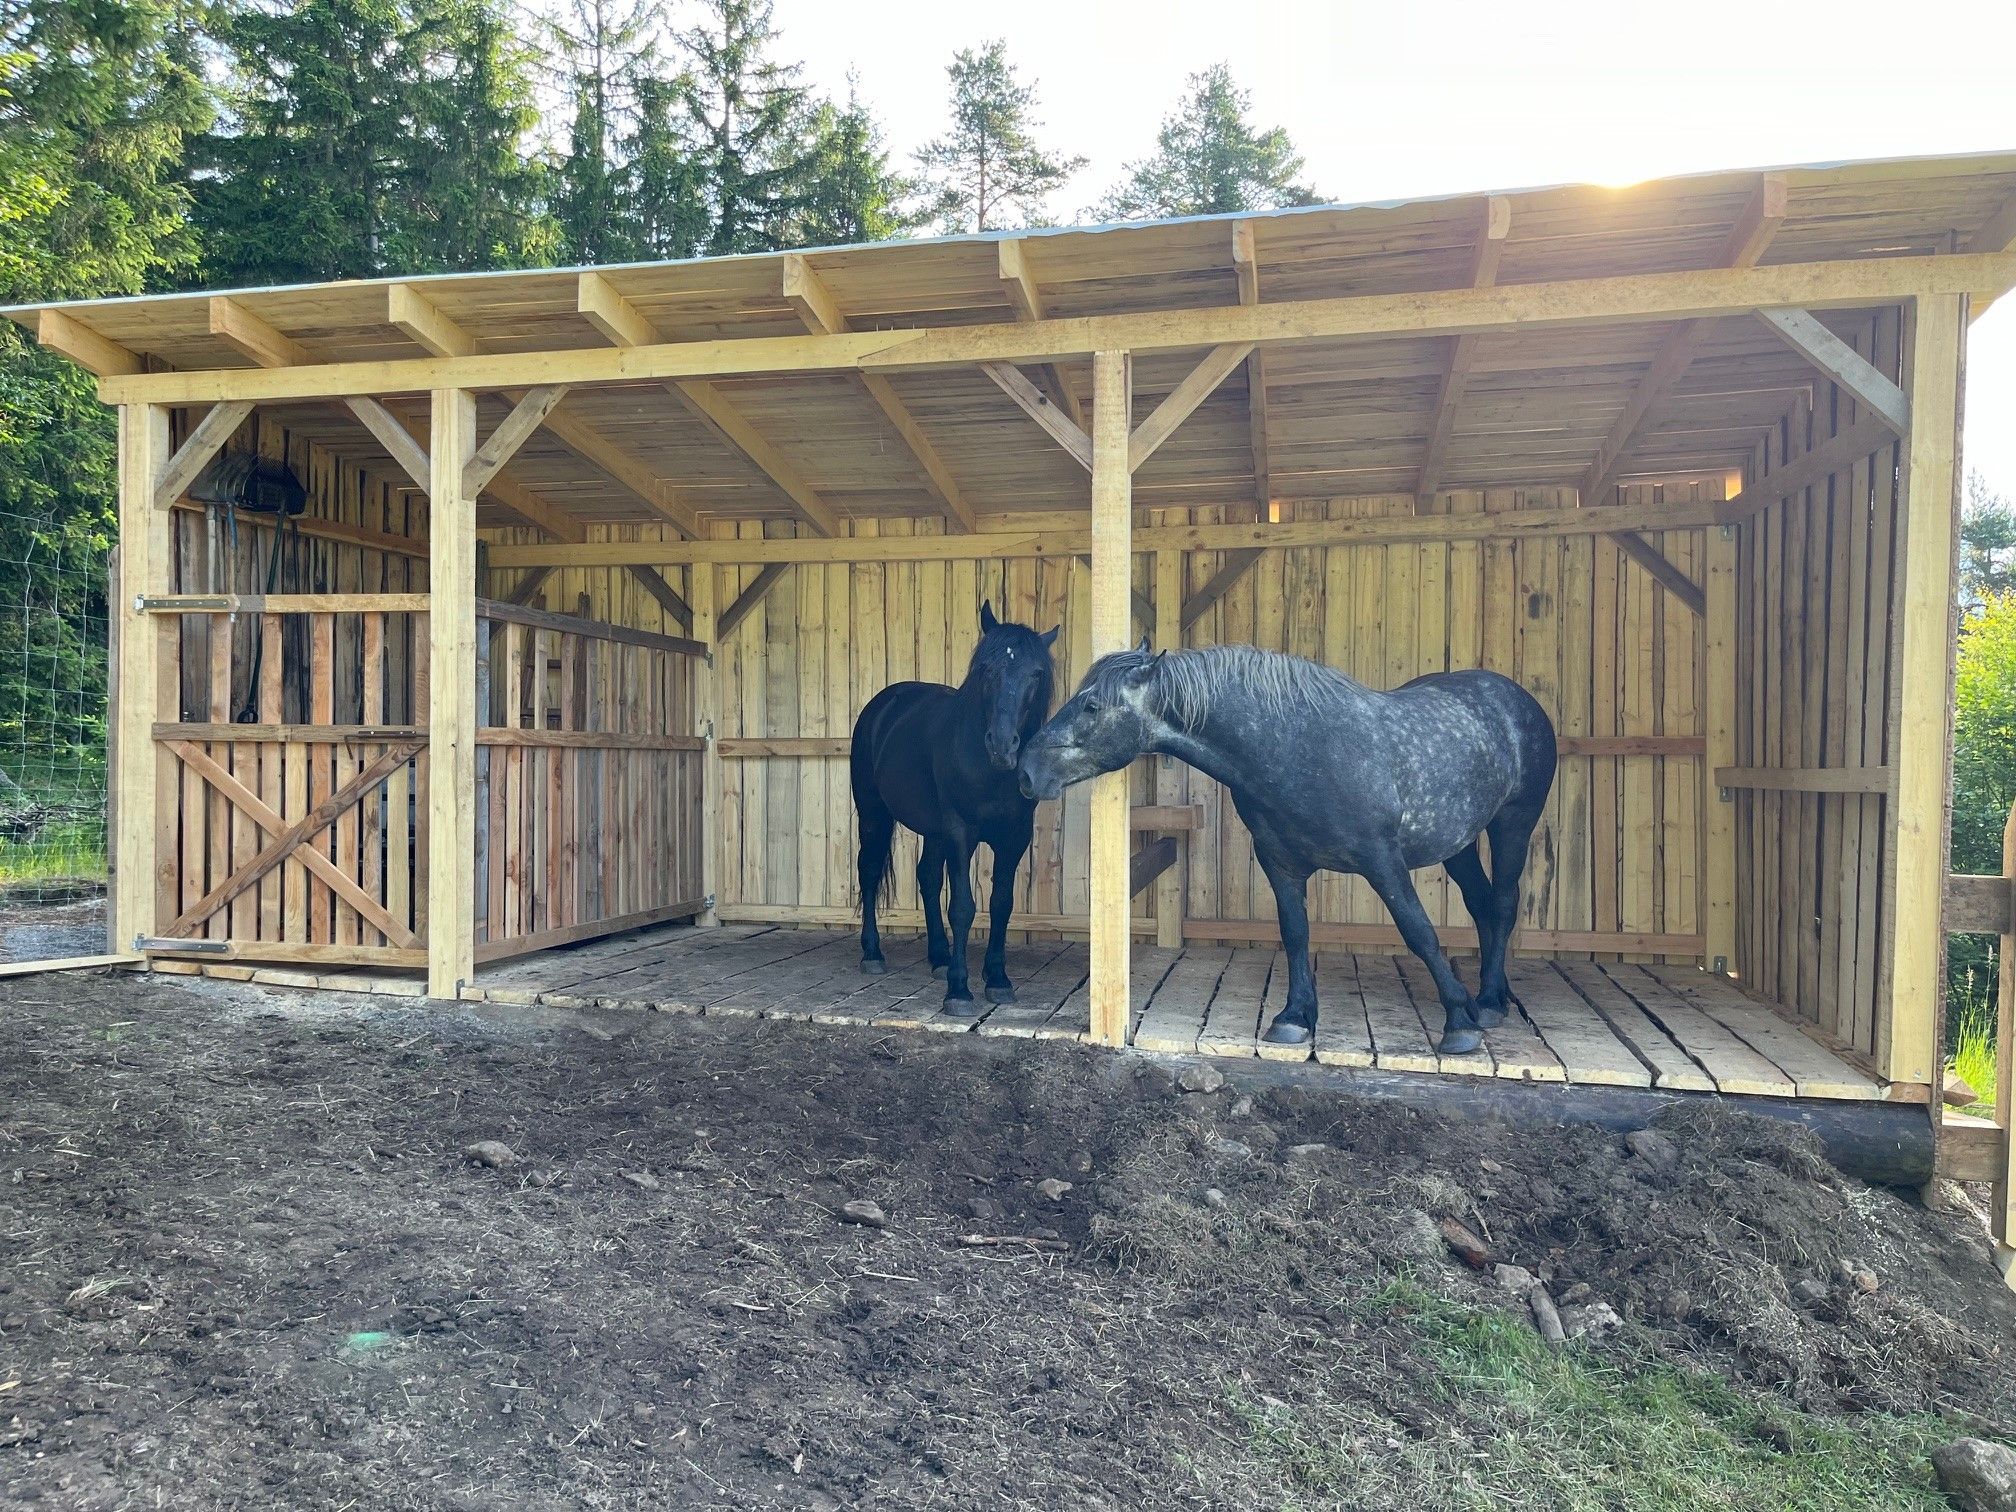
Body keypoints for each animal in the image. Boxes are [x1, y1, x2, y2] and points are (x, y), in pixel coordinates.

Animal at [851, 604, 1059, 1011]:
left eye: (1036, 673)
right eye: (987, 668)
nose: (1002, 746)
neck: (990, 771)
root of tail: (882, 706)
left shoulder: (1014, 837)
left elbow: (1001, 903)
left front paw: (997, 979)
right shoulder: (961, 832)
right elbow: (963, 906)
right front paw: (959, 990)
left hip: (933, 831)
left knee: (928, 878)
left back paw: (939, 957)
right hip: (874, 816)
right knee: (868, 871)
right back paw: (872, 955)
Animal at [1017, 642, 1556, 1054]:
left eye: (1091, 707)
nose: (1026, 772)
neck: (1296, 747)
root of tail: (1516, 700)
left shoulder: (1383, 862)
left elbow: (1419, 932)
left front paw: (1458, 1024)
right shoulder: (1280, 864)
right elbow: (1295, 934)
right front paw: (1294, 1017)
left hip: (1512, 824)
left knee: (1503, 903)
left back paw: (1487, 1004)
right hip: (1458, 843)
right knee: (1483, 904)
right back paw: (1491, 997)